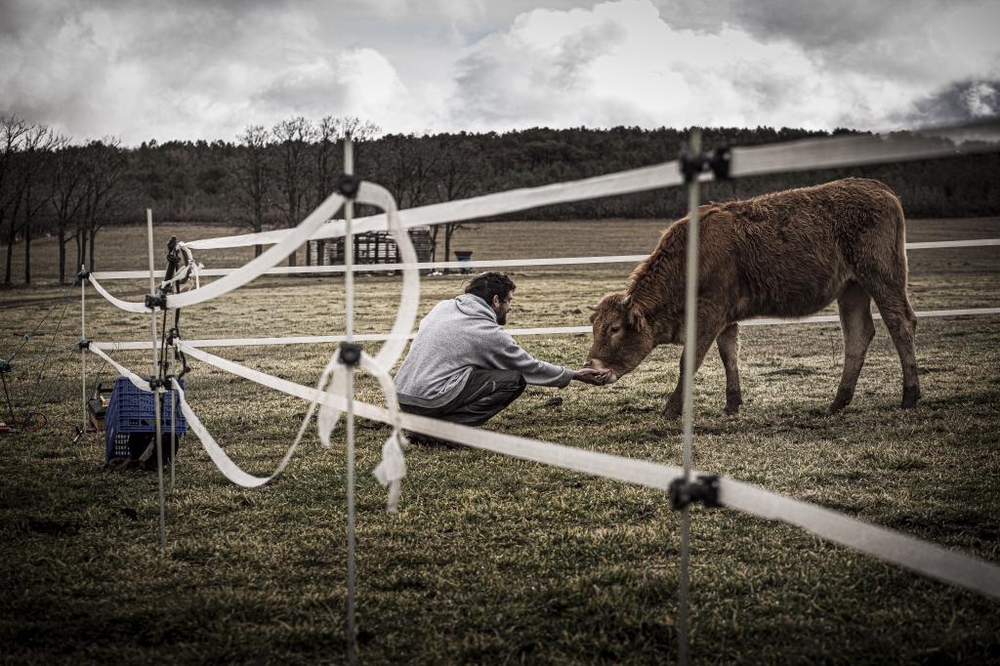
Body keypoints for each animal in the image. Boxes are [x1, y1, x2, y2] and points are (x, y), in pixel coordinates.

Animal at [584, 176, 920, 416]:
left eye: (614, 328)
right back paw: (838, 403)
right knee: (858, 335)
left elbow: (689, 360)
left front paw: (671, 409)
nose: (591, 370)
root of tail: (878, 188)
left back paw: (910, 396)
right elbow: (729, 355)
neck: (690, 257)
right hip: (852, 288)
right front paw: (732, 404)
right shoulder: (725, 317)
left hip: (882, 277)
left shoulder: (709, 313)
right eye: (595, 327)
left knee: (900, 323)